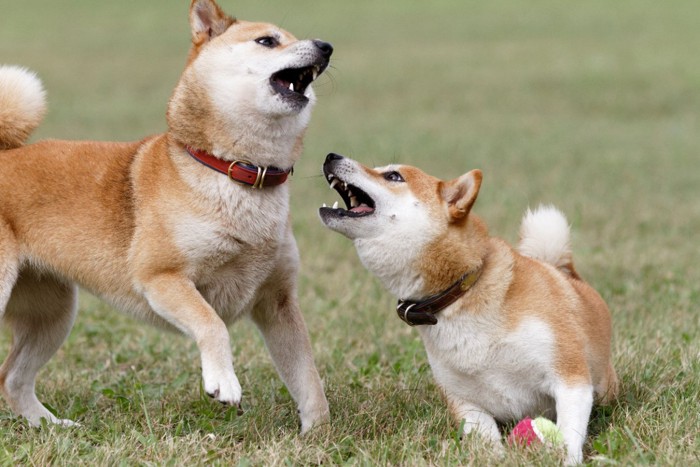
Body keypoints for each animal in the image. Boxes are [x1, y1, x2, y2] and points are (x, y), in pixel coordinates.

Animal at [0, 0, 334, 436]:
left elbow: (308, 377)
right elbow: (213, 324)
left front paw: (321, 433)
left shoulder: (278, 301)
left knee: (12, 379)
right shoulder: (162, 277)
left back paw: (51, 425)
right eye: (267, 41)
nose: (326, 46)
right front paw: (223, 381)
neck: (235, 173)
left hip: (53, 314)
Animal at [318, 154, 616, 464]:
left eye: (393, 176)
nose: (331, 156)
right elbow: (486, 441)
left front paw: (566, 459)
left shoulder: (570, 377)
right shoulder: (465, 402)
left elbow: (569, 433)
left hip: (604, 388)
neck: (462, 291)